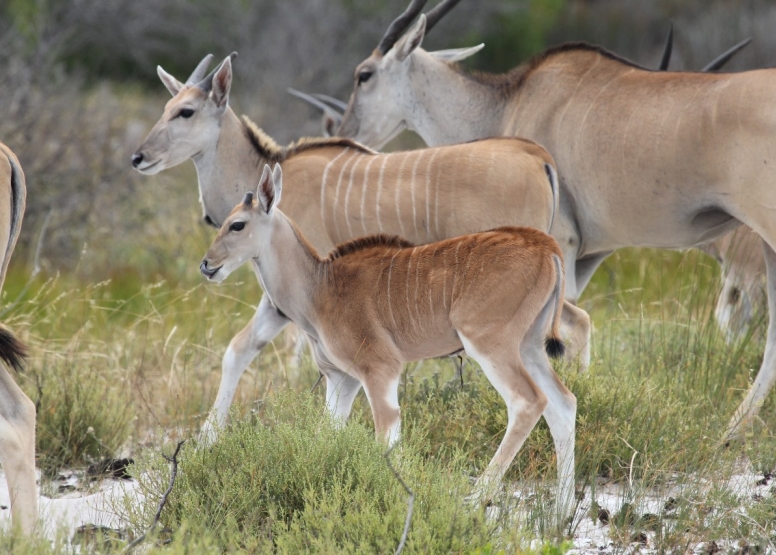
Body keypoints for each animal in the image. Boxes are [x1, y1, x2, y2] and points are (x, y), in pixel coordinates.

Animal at [129, 55, 588, 444]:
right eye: (167, 106)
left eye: (186, 111)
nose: (139, 156)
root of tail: (537, 154)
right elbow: (243, 350)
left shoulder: (289, 304)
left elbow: (254, 351)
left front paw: (207, 439)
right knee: (573, 343)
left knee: (567, 341)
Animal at [200, 164, 576, 516]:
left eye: (237, 225)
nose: (206, 265)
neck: (321, 287)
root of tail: (545, 246)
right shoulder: (342, 379)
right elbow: (329, 433)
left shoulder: (380, 369)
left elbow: (385, 430)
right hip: (529, 349)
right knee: (564, 402)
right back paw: (562, 509)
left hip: (490, 346)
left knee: (528, 402)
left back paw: (475, 498)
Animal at [336, 0, 776, 444]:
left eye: (364, 75)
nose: (344, 132)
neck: (507, 104)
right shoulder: (585, 257)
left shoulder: (559, 244)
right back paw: (732, 429)